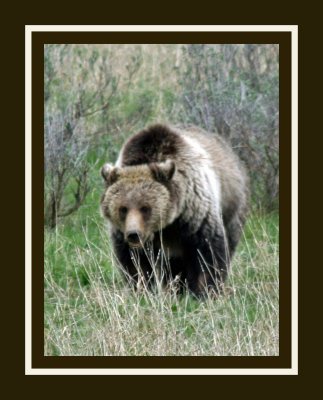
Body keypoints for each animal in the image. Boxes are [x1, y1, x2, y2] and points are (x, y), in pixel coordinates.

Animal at [100, 123, 249, 296]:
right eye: (123, 209)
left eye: (145, 208)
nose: (133, 235)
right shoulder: (122, 234)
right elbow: (134, 263)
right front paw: (141, 288)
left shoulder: (195, 214)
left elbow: (207, 253)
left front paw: (205, 290)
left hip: (232, 207)